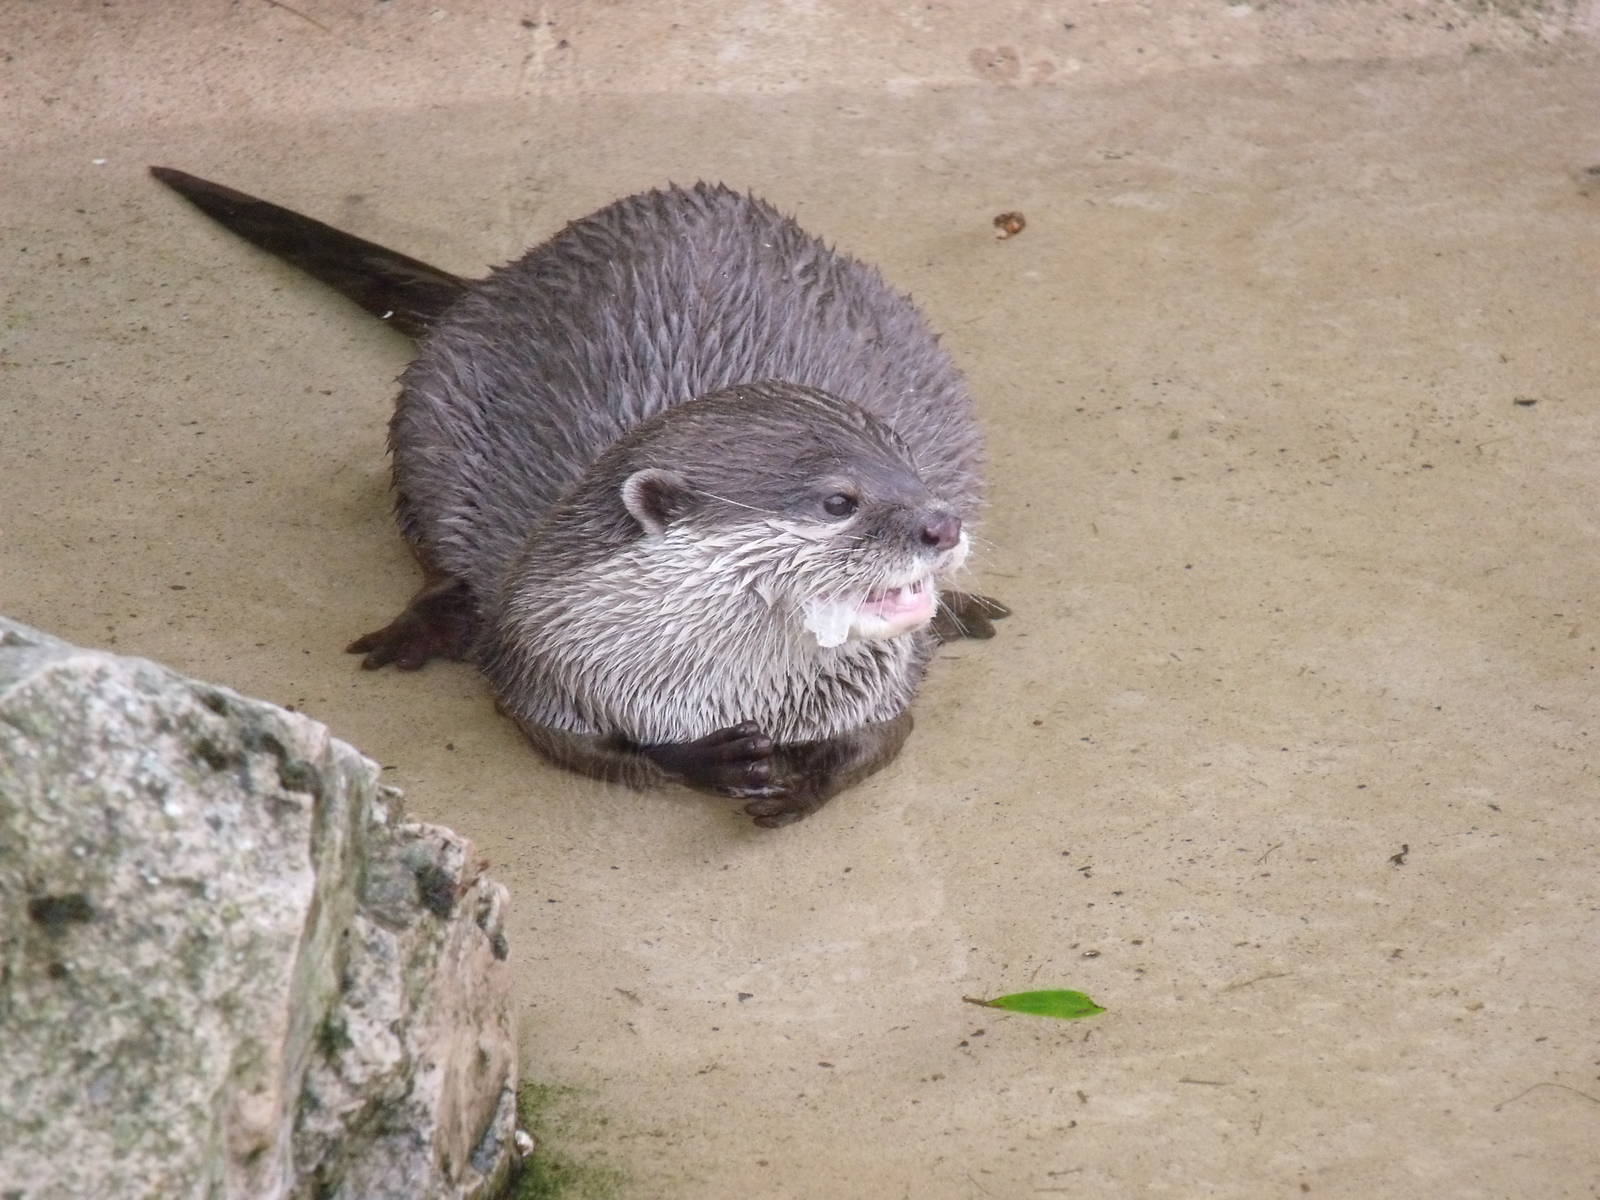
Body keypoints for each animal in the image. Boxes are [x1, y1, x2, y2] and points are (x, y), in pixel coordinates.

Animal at [150, 168, 1006, 825]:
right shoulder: (540, 661)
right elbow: (590, 746)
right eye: (838, 502)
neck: (732, 688)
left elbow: (879, 743)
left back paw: (965, 613)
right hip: (425, 415)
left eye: (908, 465)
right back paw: (421, 628)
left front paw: (795, 786)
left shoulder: (876, 690)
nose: (941, 525)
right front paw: (707, 760)